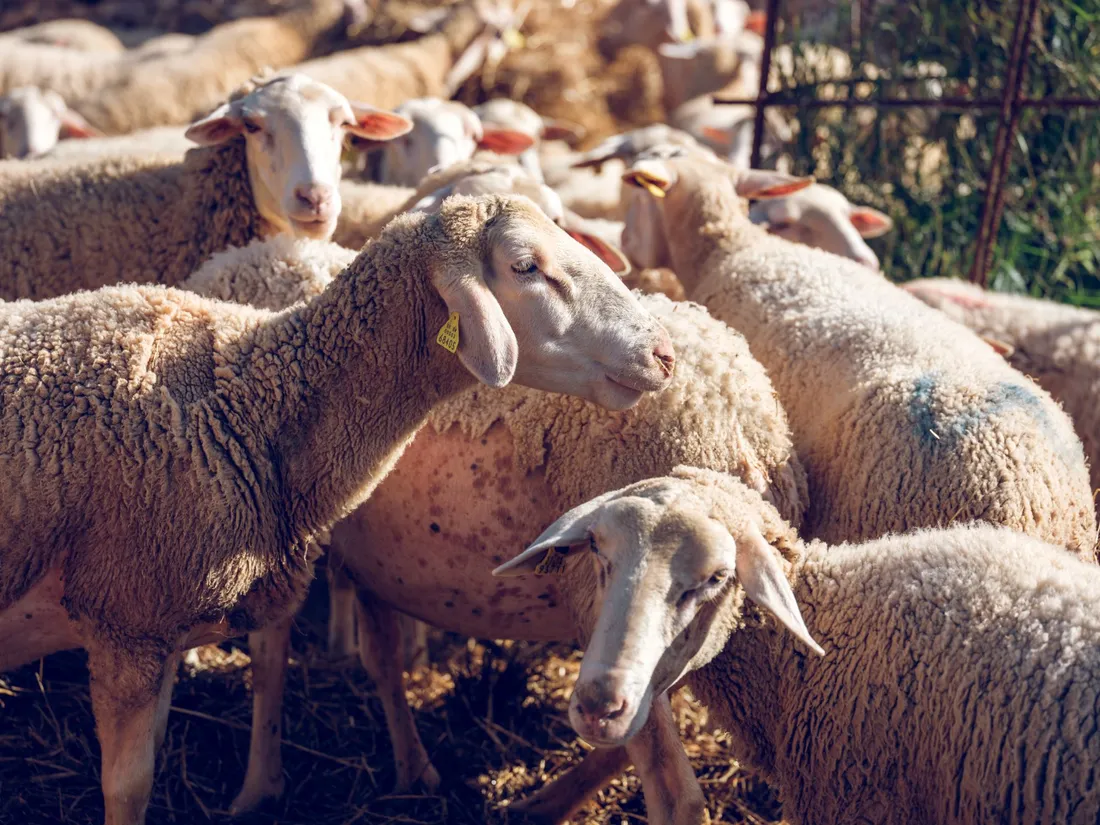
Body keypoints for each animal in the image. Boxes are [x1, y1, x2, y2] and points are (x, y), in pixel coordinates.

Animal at [0, 193, 675, 825]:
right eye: (526, 266)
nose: (663, 353)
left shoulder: (156, 626)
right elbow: (128, 787)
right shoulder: (125, 620)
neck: (252, 405)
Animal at [182, 243, 803, 813]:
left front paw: (257, 790)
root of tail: (743, 422)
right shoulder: (369, 561)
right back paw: (539, 804)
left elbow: (271, 661)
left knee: (675, 793)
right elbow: (380, 658)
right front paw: (414, 773)